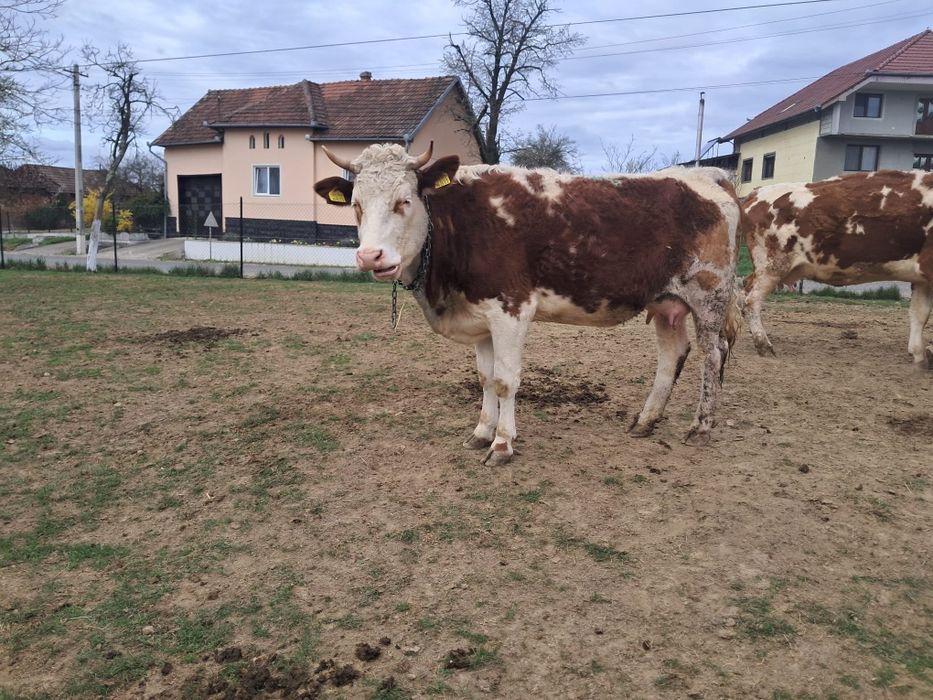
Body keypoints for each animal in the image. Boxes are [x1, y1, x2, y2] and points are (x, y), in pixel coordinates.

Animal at [314, 143, 742, 465]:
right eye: (356, 205)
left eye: (404, 201)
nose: (370, 256)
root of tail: (706, 176)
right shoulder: (481, 316)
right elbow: (485, 378)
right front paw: (480, 432)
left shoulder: (511, 309)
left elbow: (506, 380)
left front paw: (502, 444)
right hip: (668, 301)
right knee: (672, 353)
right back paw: (646, 420)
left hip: (709, 293)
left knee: (712, 353)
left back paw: (701, 426)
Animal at [742, 170, 933, 365]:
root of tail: (756, 193)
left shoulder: (922, 279)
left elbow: (920, 313)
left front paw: (919, 356)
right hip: (773, 266)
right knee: (751, 302)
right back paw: (763, 345)